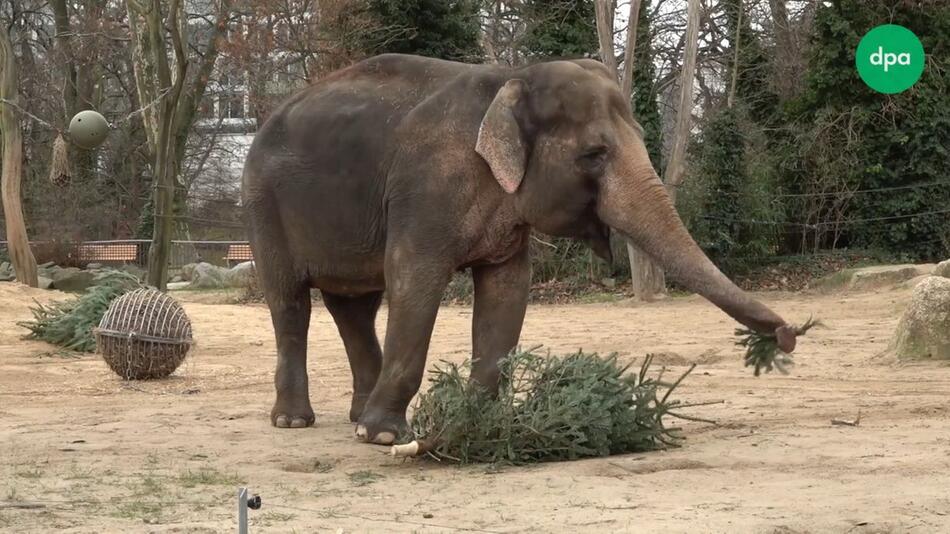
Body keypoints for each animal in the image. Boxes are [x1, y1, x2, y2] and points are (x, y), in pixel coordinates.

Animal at [242, 52, 800, 446]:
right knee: (290, 303)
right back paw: (297, 422)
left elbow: (507, 291)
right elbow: (415, 280)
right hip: (263, 206)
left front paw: (482, 422)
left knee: (354, 307)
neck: (511, 78)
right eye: (594, 155)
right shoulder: (426, 187)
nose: (789, 336)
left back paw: (357, 418)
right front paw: (385, 438)